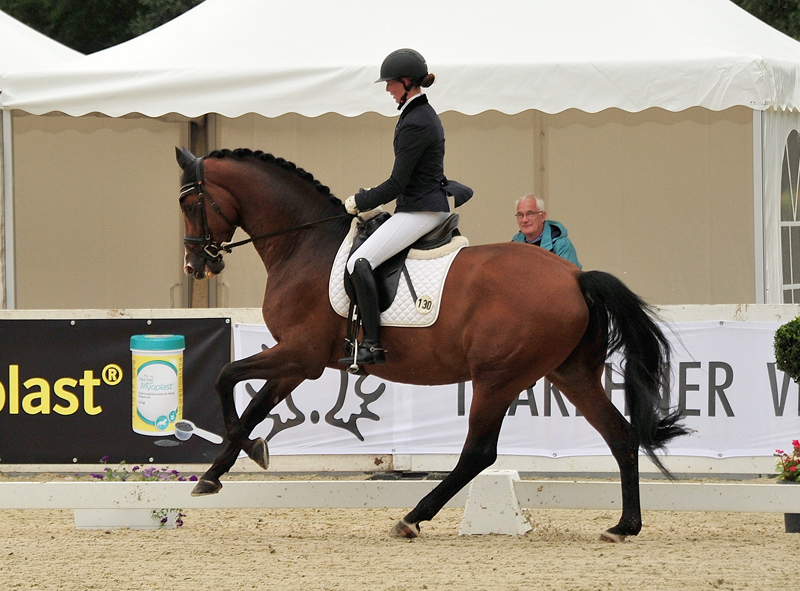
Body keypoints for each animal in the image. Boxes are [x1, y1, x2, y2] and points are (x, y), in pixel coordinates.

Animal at [175, 147, 688, 540]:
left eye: (191, 203)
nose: (196, 266)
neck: (304, 245)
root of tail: (575, 277)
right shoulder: (296, 363)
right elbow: (254, 405)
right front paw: (218, 471)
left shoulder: (301, 356)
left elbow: (225, 378)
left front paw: (246, 453)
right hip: (570, 373)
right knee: (620, 435)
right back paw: (624, 526)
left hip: (498, 377)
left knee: (479, 453)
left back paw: (412, 518)